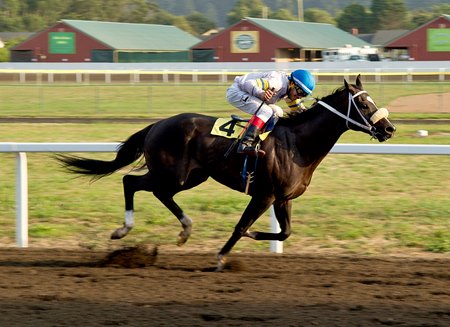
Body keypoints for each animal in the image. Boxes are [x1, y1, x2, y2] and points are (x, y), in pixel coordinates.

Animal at [56, 76, 394, 272]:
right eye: (364, 104)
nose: (389, 128)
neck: (297, 144)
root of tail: (157, 124)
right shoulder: (264, 195)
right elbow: (241, 226)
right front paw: (222, 256)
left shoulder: (283, 199)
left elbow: (284, 232)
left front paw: (255, 237)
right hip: (173, 172)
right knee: (131, 182)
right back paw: (123, 230)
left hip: (190, 176)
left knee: (158, 192)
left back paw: (185, 230)